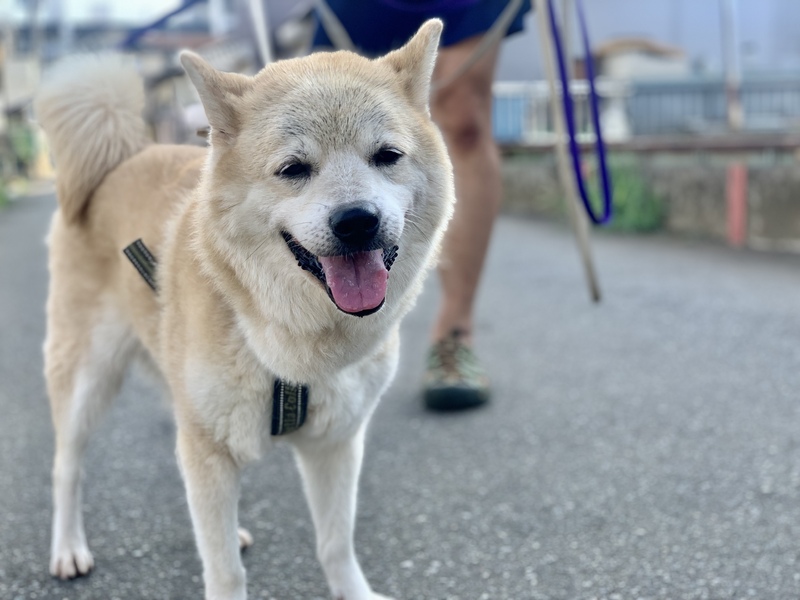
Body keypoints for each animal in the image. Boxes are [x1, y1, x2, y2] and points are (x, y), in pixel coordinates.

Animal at [35, 19, 452, 600]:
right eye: (294, 168)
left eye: (387, 155)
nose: (357, 221)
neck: (289, 339)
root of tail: (122, 157)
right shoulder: (209, 446)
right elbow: (225, 570)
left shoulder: (335, 442)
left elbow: (335, 542)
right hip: (86, 378)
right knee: (65, 469)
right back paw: (68, 547)